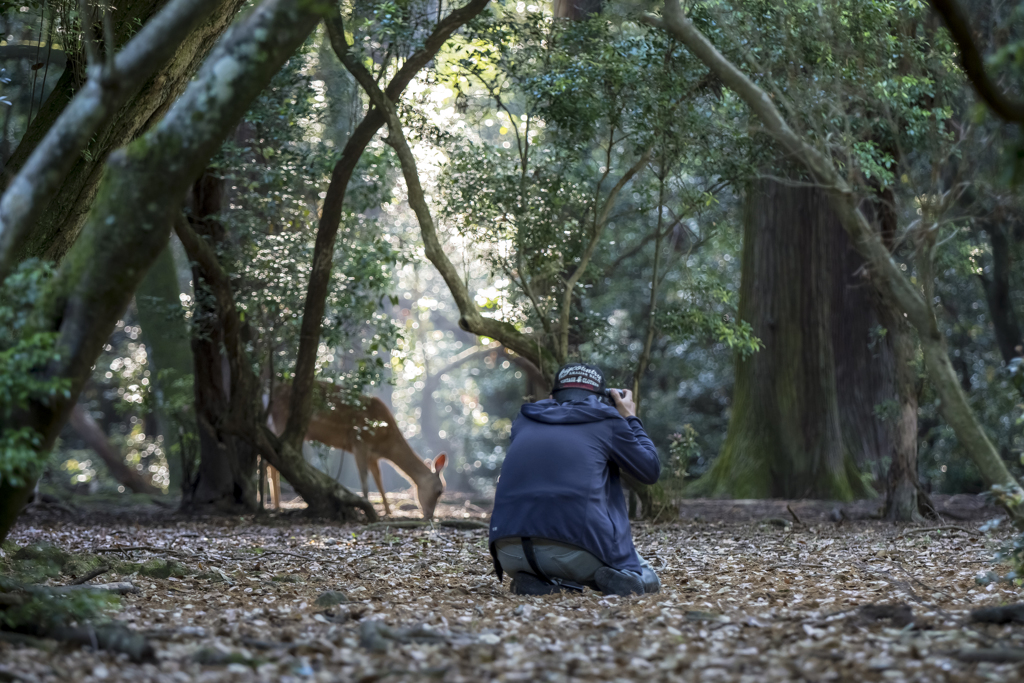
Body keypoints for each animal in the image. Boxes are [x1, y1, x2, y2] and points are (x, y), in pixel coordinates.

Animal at [270, 385, 446, 518]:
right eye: (439, 491)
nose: (430, 515)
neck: (386, 443)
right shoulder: (359, 441)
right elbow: (364, 478)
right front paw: (367, 507)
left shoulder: (373, 456)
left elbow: (379, 481)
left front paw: (388, 512)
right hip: (282, 419)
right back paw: (276, 506)